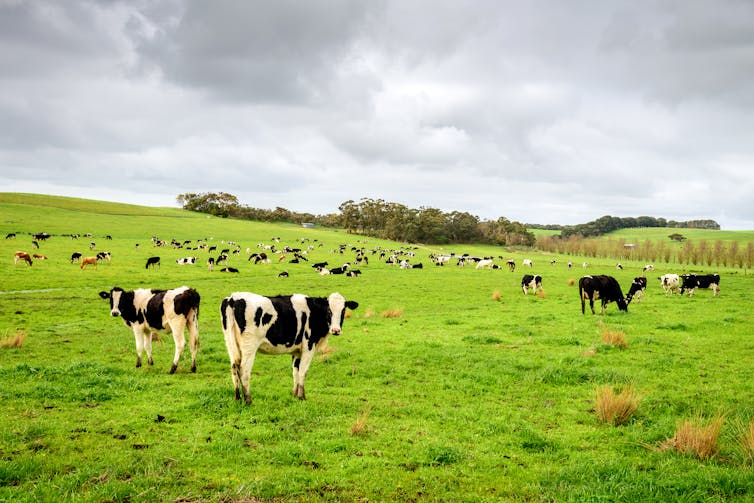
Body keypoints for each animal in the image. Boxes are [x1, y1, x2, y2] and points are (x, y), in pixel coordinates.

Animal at [220, 292, 358, 406]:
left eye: (343, 310)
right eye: (329, 310)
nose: (336, 330)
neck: (314, 312)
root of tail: (233, 298)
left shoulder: (297, 351)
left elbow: (295, 372)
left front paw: (295, 395)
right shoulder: (309, 346)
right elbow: (303, 371)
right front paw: (302, 396)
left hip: (230, 344)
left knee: (234, 368)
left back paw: (238, 399)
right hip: (249, 346)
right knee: (244, 371)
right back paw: (248, 400)